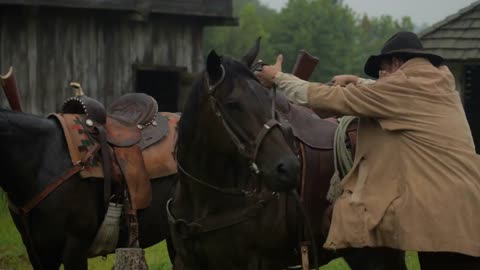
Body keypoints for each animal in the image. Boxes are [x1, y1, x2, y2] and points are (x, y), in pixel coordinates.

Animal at [167, 42, 406, 270]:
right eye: (232, 104)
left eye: (268, 99)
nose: (289, 167)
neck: (207, 199)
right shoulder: (185, 261)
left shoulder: (262, 262)